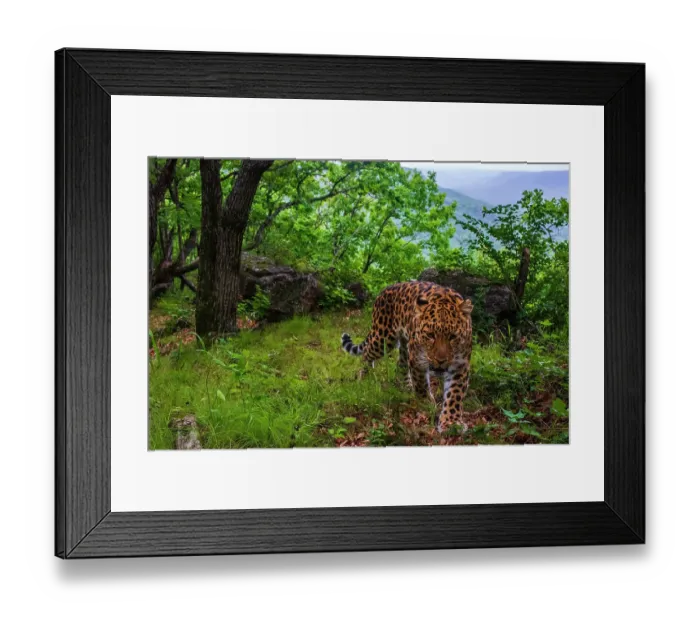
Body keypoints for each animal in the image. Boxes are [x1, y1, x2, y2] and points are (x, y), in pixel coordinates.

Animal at [341, 281, 473, 433]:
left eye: (453, 336)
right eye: (430, 335)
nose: (441, 361)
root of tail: (385, 289)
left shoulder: (460, 364)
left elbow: (455, 395)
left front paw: (451, 422)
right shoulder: (417, 359)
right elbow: (421, 385)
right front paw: (426, 404)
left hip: (404, 344)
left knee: (400, 365)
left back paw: (407, 386)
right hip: (383, 338)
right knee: (367, 353)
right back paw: (364, 376)